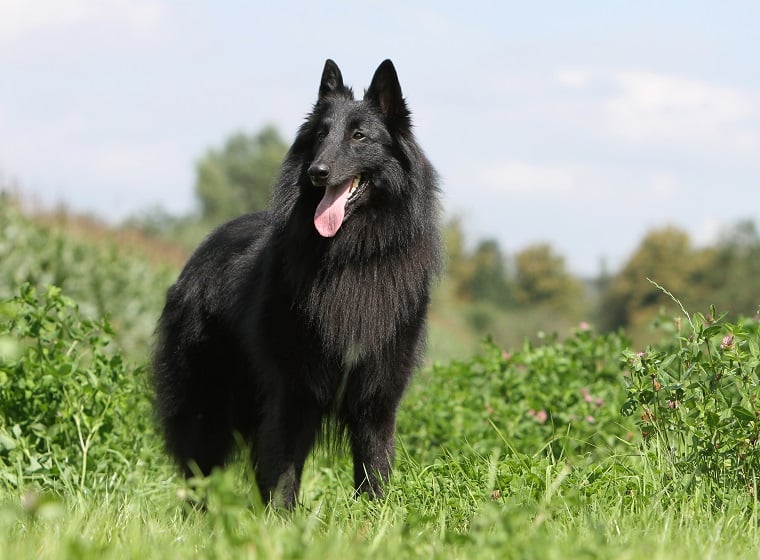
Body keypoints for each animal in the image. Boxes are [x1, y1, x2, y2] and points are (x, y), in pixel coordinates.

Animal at [152, 59, 442, 510]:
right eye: (321, 134)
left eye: (359, 136)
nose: (316, 172)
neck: (350, 258)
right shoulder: (292, 393)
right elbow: (284, 473)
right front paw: (282, 522)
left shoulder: (377, 398)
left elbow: (373, 469)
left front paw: (373, 520)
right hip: (206, 406)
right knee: (198, 471)